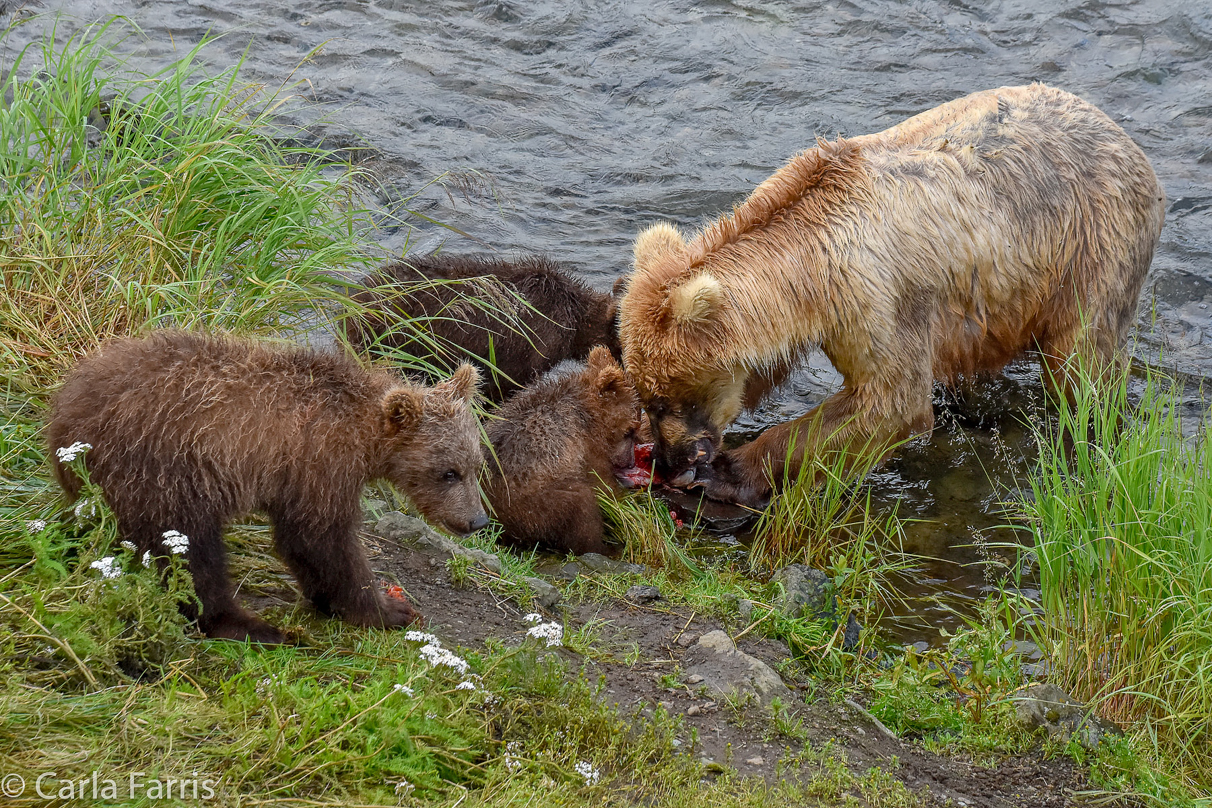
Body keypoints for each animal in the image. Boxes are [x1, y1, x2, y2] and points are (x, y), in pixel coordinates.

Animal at [50, 329, 487, 644]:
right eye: (448, 472)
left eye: (476, 465)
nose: (477, 520)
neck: (365, 435)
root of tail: (63, 415)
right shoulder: (319, 461)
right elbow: (321, 538)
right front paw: (387, 610)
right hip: (161, 471)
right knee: (191, 552)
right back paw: (250, 626)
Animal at [479, 348, 639, 557]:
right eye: (630, 430)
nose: (630, 461)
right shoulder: (585, 447)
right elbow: (602, 484)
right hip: (530, 507)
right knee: (581, 504)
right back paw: (605, 548)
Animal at [620, 83, 1168, 506]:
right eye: (646, 394)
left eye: (666, 397)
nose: (670, 462)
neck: (808, 267)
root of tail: (1125, 137)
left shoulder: (873, 295)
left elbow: (890, 403)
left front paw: (729, 475)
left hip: (1093, 246)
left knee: (1082, 363)